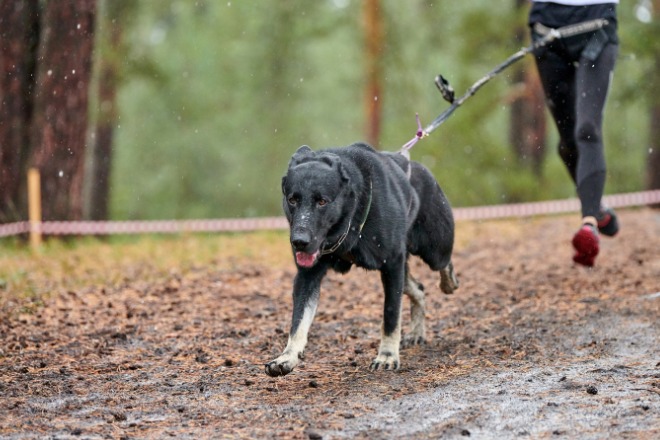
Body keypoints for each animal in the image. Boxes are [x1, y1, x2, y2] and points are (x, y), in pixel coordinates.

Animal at [264, 143, 458, 376]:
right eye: (293, 199)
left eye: (322, 201)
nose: (299, 242)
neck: (351, 219)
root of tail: (421, 168)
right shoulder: (308, 275)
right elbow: (298, 321)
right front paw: (287, 356)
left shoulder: (392, 265)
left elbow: (391, 315)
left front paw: (387, 355)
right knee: (418, 288)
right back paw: (417, 332)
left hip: (433, 249)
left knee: (444, 264)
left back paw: (449, 282)